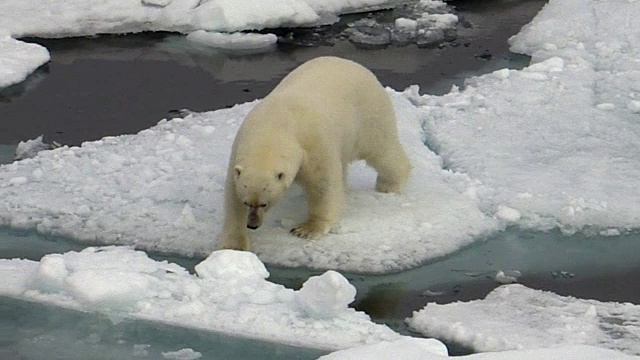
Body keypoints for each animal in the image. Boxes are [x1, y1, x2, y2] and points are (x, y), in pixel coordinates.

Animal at [219, 57, 410, 252]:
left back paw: (389, 185)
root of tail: (354, 63)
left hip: (369, 115)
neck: (275, 126)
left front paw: (306, 229)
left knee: (382, 151)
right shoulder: (240, 147)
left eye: (265, 203)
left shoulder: (314, 144)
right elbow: (232, 197)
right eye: (247, 202)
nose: (252, 224)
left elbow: (323, 185)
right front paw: (234, 246)